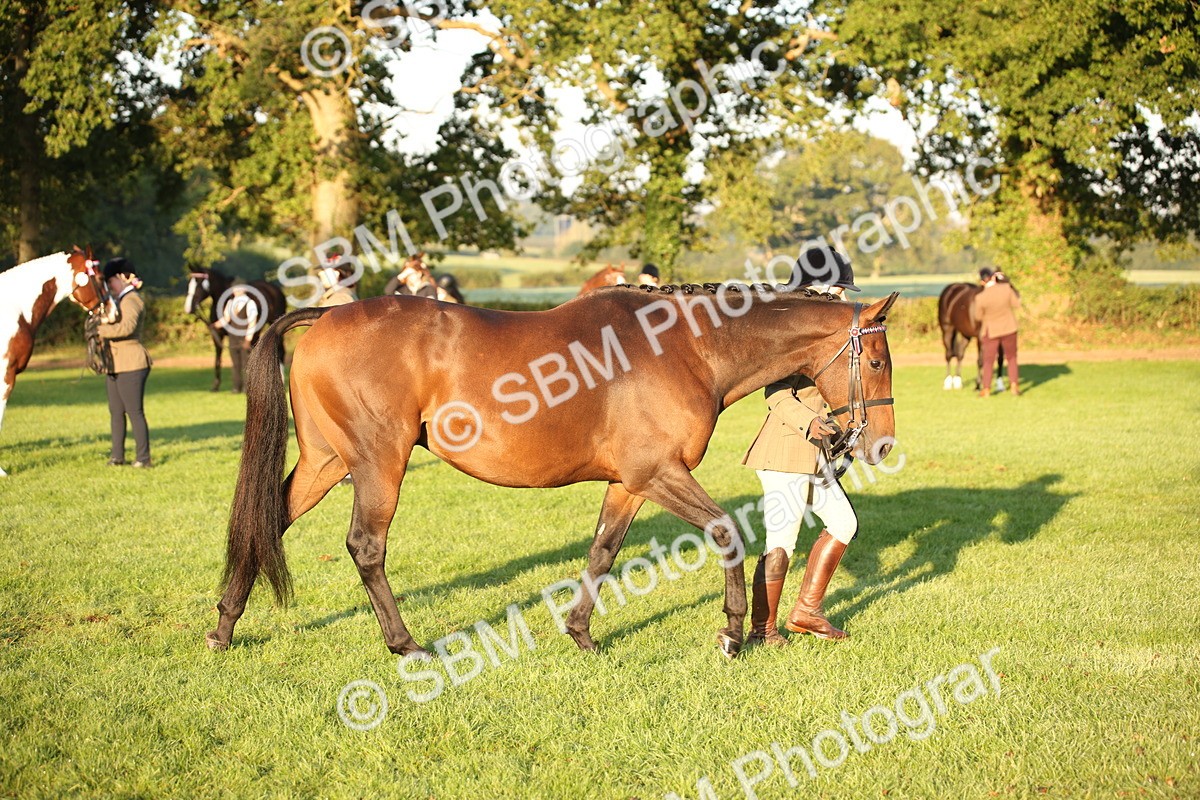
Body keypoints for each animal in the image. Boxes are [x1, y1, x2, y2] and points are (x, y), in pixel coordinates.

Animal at [205, 282, 899, 660]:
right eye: (879, 362)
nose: (881, 446)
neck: (687, 348)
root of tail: (326, 315)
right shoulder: (659, 473)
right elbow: (726, 532)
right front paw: (731, 633)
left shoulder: (629, 483)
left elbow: (602, 550)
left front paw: (580, 632)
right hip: (379, 463)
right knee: (365, 546)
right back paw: (405, 644)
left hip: (326, 461)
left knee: (267, 522)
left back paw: (224, 628)